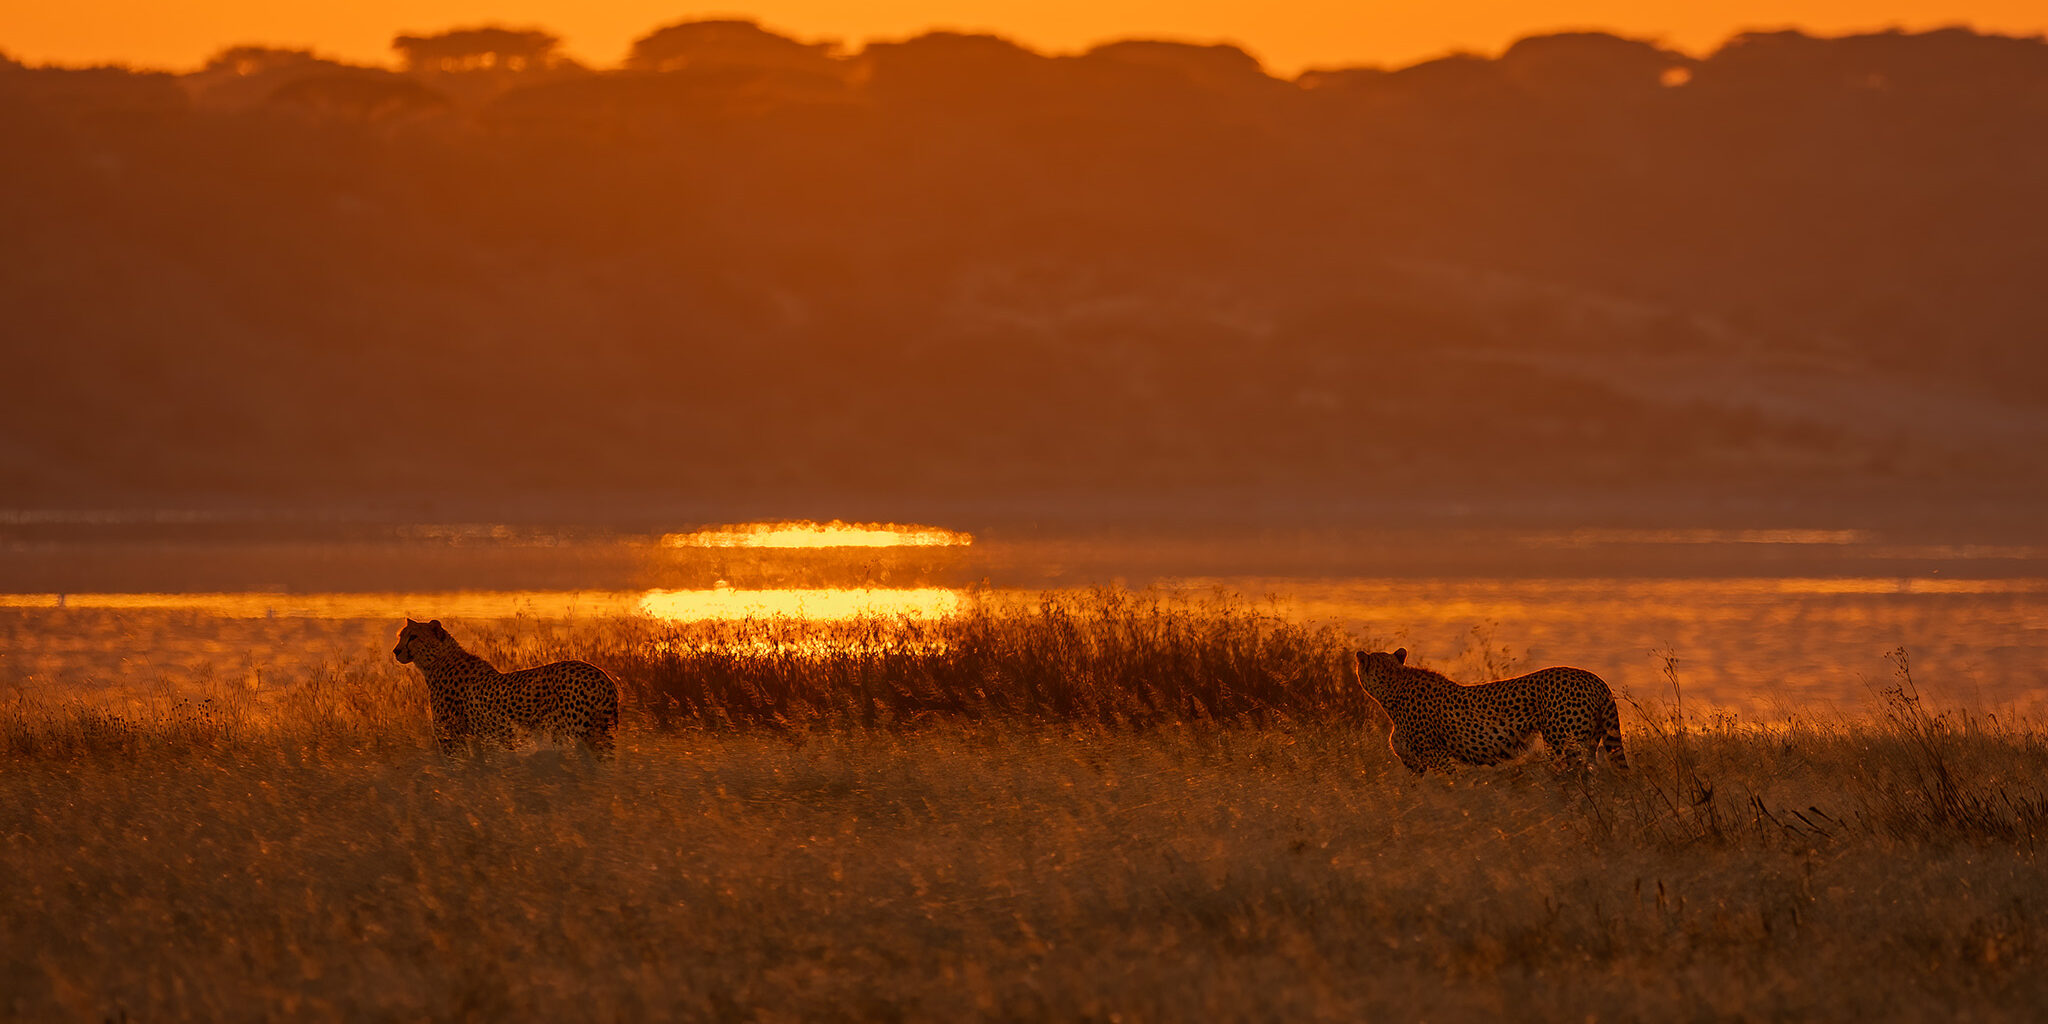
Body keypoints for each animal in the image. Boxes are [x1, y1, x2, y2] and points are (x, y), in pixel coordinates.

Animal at [392, 618, 620, 757]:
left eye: (413, 637)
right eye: (401, 636)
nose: (396, 651)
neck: (438, 661)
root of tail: (603, 676)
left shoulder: (453, 740)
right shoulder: (478, 740)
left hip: (572, 735)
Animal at [1354, 648, 1626, 774]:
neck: (1393, 688)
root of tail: (1594, 677)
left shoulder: (1440, 760)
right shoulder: (1415, 765)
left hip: (1564, 747)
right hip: (1588, 744)